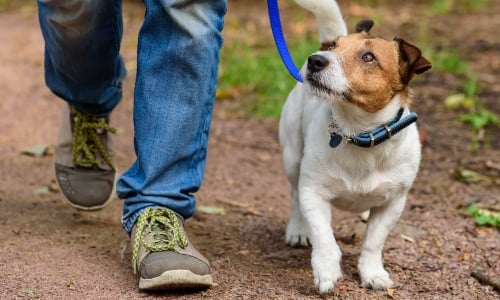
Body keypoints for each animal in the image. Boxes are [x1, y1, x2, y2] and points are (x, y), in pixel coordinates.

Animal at [280, 0, 432, 292]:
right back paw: (298, 229)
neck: (358, 133)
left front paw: (372, 273)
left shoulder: (393, 204)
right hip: (292, 158)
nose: (315, 59)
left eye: (368, 57)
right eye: (333, 47)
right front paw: (327, 270)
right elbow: (324, 237)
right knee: (293, 195)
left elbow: (373, 242)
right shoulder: (313, 192)